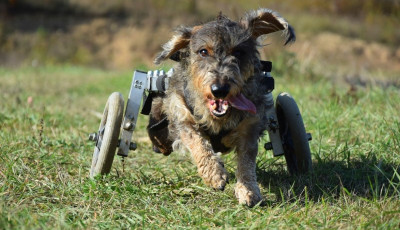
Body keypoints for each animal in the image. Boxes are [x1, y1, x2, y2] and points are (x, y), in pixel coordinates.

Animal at [148, 9, 296, 207]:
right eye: (203, 51)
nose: (219, 89)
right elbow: (198, 143)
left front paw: (248, 190)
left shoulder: (249, 128)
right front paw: (214, 175)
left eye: (238, 52)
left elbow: (246, 161)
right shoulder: (183, 116)